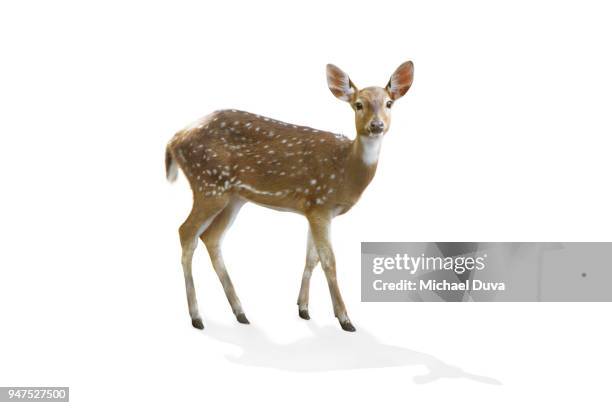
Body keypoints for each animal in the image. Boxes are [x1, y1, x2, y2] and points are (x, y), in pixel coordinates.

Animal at [167, 61, 414, 332]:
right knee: (186, 232)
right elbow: (329, 261)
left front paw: (303, 309)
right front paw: (345, 319)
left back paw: (240, 312)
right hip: (209, 185)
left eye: (389, 103)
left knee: (211, 238)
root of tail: (174, 140)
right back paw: (196, 316)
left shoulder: (313, 208)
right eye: (358, 104)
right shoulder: (320, 204)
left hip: (233, 197)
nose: (377, 125)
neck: (345, 170)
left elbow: (311, 258)